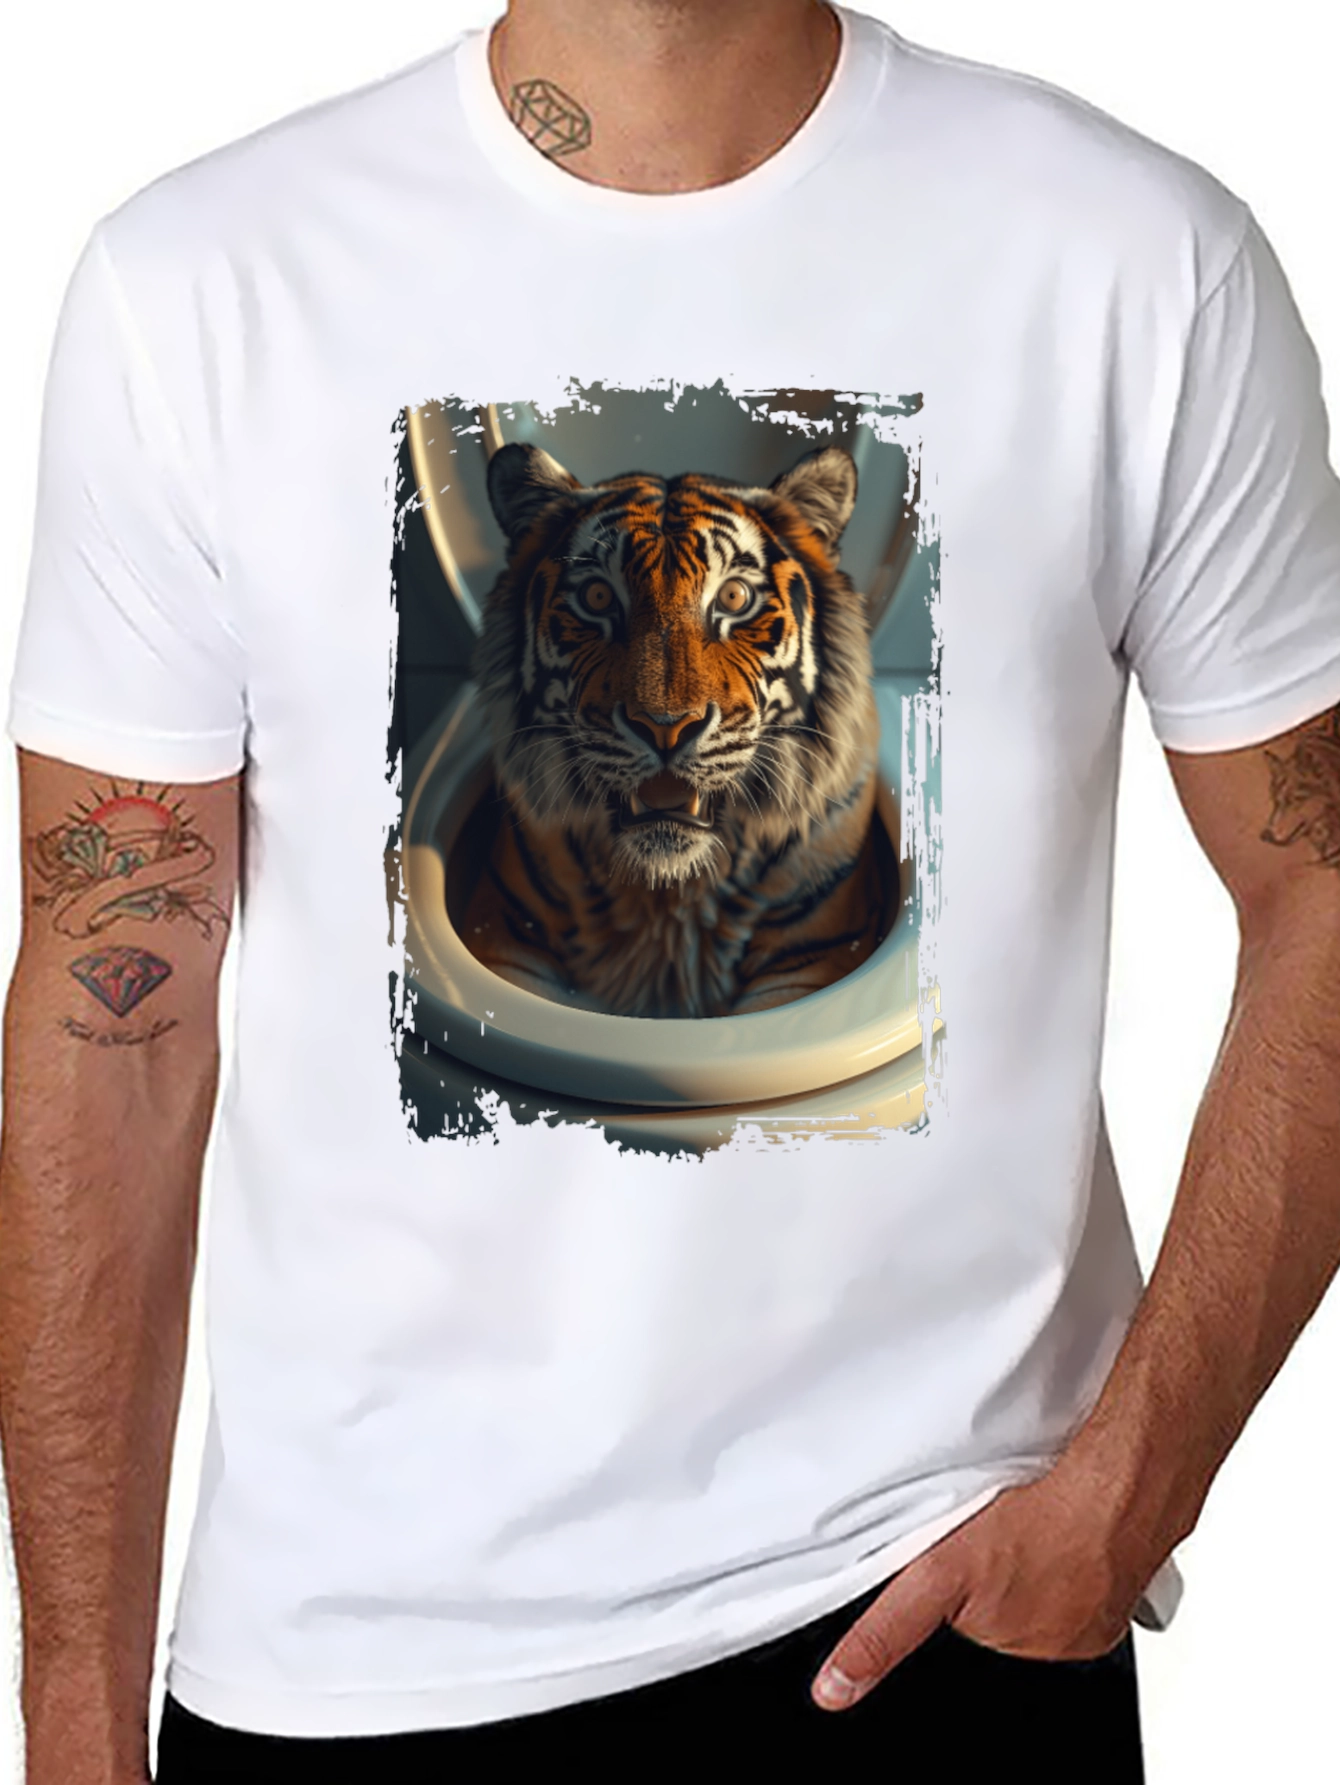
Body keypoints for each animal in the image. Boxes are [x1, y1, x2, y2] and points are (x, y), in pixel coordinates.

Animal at [459, 439, 890, 1019]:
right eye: (597, 598)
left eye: (733, 598)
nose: (664, 727)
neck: (666, 895)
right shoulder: (506, 937)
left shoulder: (815, 958)